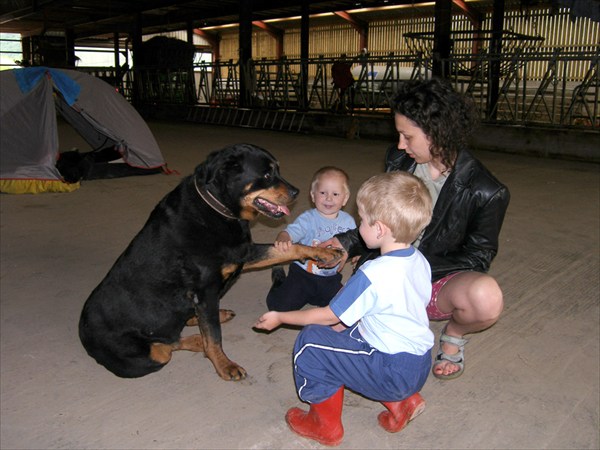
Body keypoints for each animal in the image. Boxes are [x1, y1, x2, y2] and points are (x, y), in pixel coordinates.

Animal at [79, 143, 342, 380]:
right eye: (266, 175)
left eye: (277, 170)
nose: (297, 192)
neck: (218, 209)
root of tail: (83, 336)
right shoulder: (205, 291)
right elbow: (214, 336)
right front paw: (225, 365)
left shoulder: (241, 254)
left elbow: (289, 249)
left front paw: (323, 253)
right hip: (144, 356)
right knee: (167, 345)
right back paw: (198, 340)